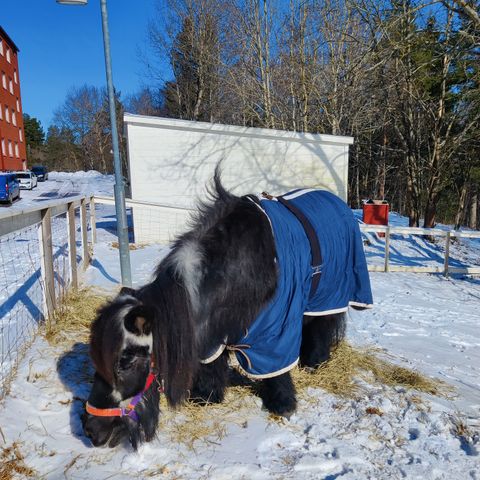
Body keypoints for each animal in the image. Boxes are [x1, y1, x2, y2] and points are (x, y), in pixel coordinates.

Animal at [81, 173, 372, 450]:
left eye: (126, 361)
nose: (92, 430)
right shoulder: (211, 333)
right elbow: (211, 365)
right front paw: (207, 397)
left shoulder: (274, 332)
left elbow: (276, 369)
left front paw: (283, 404)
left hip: (329, 295)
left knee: (321, 327)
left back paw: (315, 363)